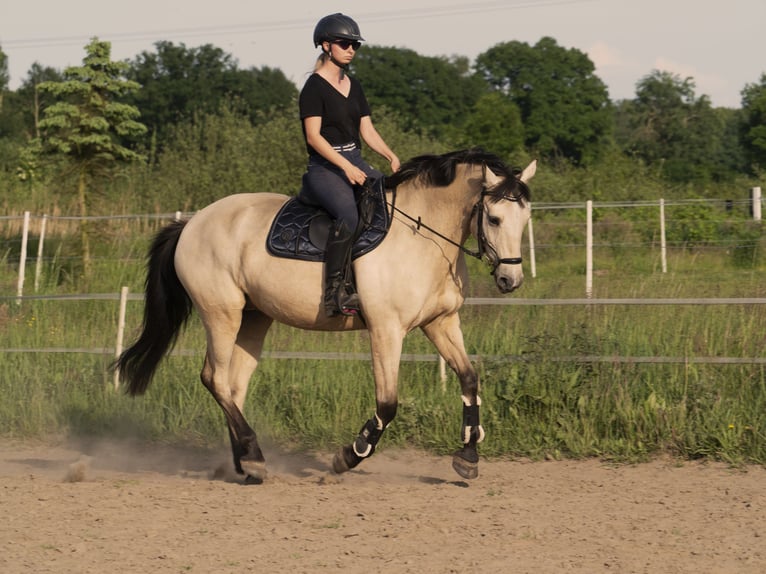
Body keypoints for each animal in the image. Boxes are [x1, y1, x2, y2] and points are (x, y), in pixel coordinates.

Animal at [115, 148, 535, 482]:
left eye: (525, 218)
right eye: (494, 219)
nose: (510, 279)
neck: (422, 235)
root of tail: (192, 223)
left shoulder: (441, 323)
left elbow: (469, 379)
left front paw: (468, 457)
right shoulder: (386, 330)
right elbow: (387, 403)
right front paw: (348, 456)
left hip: (254, 318)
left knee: (233, 386)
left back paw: (246, 463)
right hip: (222, 314)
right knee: (214, 378)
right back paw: (253, 456)